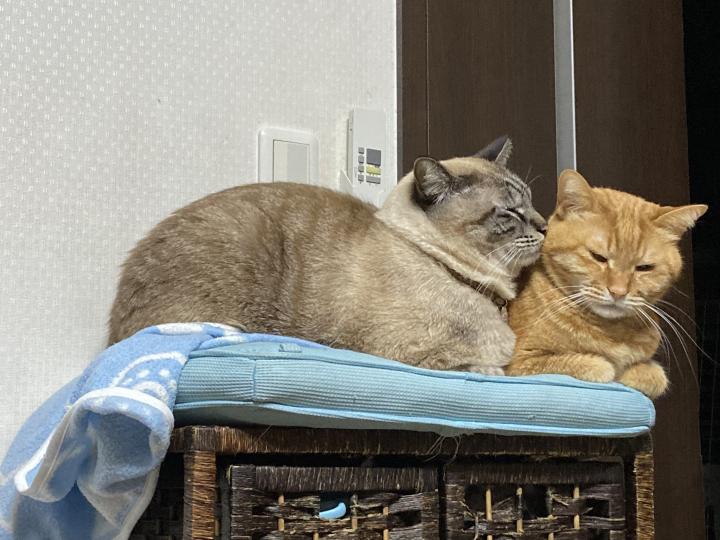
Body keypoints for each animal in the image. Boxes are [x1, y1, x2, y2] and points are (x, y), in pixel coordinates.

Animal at [507, 169, 707, 398]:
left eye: (644, 267)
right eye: (598, 257)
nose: (618, 292)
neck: (611, 332)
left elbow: (655, 375)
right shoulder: (519, 361)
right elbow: (593, 365)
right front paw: (606, 366)